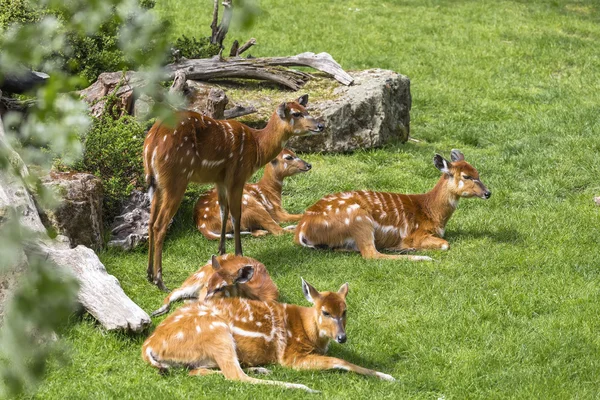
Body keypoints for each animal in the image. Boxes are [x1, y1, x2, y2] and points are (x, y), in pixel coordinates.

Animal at [142, 278, 396, 390]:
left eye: (345, 311)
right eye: (325, 312)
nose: (342, 337)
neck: (308, 331)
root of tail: (149, 346)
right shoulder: (291, 356)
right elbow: (339, 360)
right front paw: (388, 376)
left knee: (198, 371)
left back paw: (259, 368)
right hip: (215, 332)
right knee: (235, 376)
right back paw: (302, 387)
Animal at [144, 94, 324, 290]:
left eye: (306, 109)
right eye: (297, 113)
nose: (320, 126)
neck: (258, 146)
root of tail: (151, 144)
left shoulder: (220, 180)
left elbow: (224, 212)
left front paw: (221, 252)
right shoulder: (238, 176)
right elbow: (236, 214)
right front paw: (239, 254)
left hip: (154, 182)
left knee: (150, 222)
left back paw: (149, 274)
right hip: (176, 179)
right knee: (159, 224)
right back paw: (160, 281)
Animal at [292, 150, 490, 260]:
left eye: (478, 173)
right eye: (466, 176)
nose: (488, 193)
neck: (432, 212)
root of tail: (302, 230)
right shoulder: (418, 234)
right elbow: (445, 244)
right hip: (359, 218)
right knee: (371, 254)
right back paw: (418, 255)